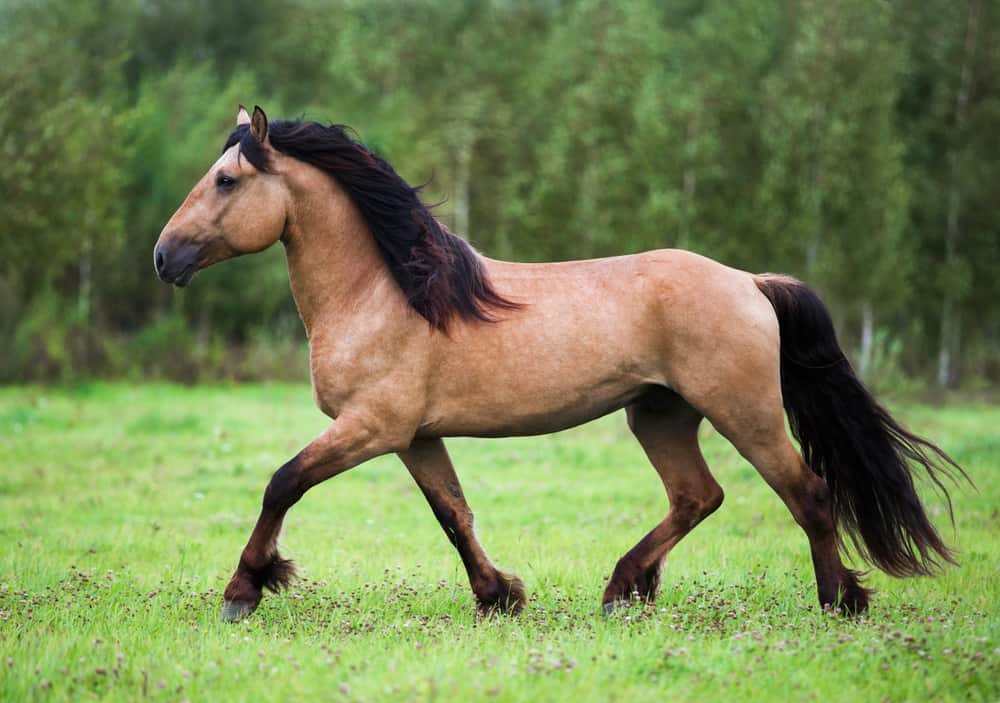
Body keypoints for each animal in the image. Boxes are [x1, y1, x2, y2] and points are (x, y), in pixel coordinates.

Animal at [154, 106, 963, 622]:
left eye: (226, 181)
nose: (165, 257)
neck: (386, 292)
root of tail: (750, 282)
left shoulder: (372, 427)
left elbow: (282, 483)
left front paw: (243, 589)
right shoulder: (415, 436)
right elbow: (453, 514)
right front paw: (500, 596)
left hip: (747, 413)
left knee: (809, 494)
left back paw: (839, 601)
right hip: (660, 415)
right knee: (697, 497)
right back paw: (624, 589)